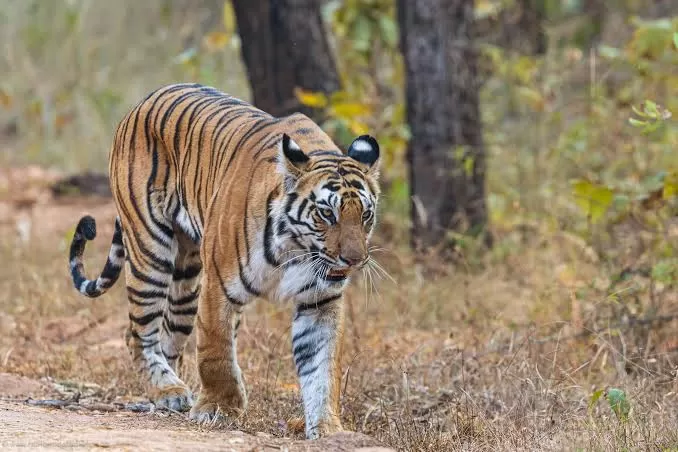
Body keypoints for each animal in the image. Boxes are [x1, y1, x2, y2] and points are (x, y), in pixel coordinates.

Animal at [67, 83, 381, 439]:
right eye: (327, 214)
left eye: (365, 215)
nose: (354, 260)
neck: (296, 249)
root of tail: (144, 100)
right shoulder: (219, 285)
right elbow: (216, 351)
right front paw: (218, 408)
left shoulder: (321, 302)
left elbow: (322, 369)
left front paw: (328, 428)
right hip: (150, 253)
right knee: (137, 334)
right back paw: (168, 391)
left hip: (186, 279)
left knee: (168, 339)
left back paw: (172, 392)